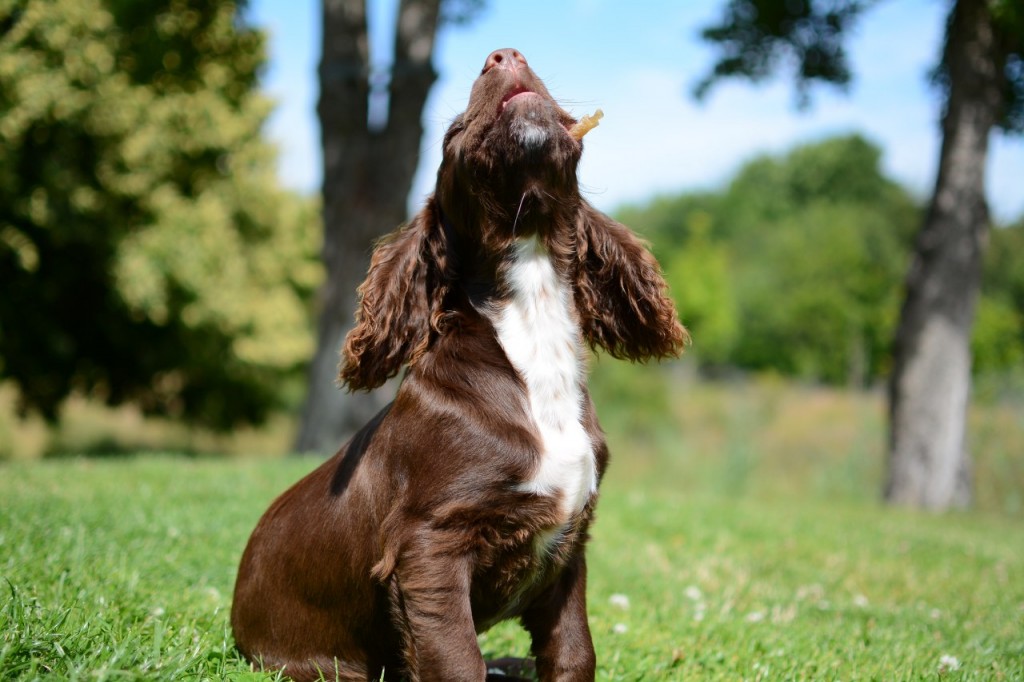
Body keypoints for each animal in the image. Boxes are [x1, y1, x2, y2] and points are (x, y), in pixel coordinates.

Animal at [232, 49, 688, 679]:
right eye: (452, 133)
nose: (503, 54)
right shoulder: (428, 546)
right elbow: (455, 656)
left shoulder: (569, 548)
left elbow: (574, 650)